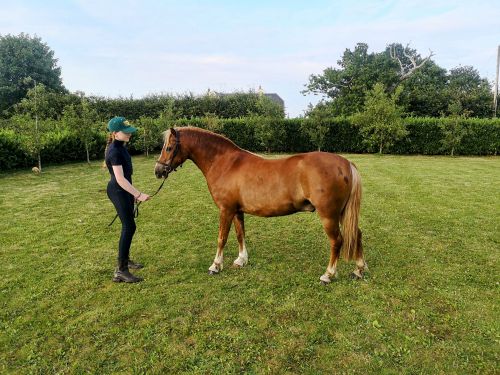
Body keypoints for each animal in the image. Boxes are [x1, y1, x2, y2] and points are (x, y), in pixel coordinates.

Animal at [153, 128, 368, 284]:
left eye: (169, 148)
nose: (158, 170)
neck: (226, 163)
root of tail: (345, 163)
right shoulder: (237, 211)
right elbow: (240, 235)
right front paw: (241, 260)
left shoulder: (225, 210)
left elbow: (222, 238)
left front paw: (215, 266)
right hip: (342, 213)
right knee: (356, 234)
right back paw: (358, 269)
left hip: (329, 215)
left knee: (337, 241)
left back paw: (328, 275)